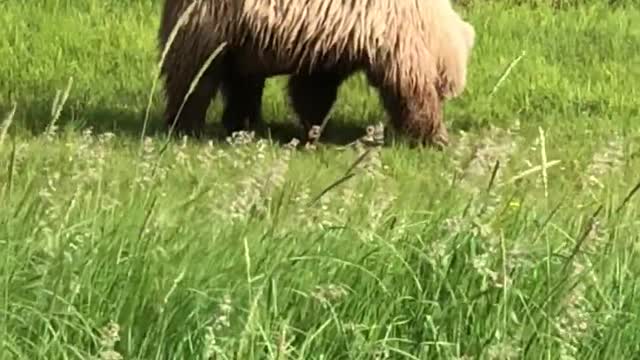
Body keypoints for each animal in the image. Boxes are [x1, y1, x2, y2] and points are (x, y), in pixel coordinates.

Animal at [156, 0, 476, 148]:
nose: (449, 92)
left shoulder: (333, 43)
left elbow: (314, 89)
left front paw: (314, 130)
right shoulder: (394, 35)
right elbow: (407, 88)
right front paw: (434, 136)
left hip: (244, 40)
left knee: (242, 83)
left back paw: (245, 124)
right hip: (214, 21)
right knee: (194, 74)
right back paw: (186, 125)